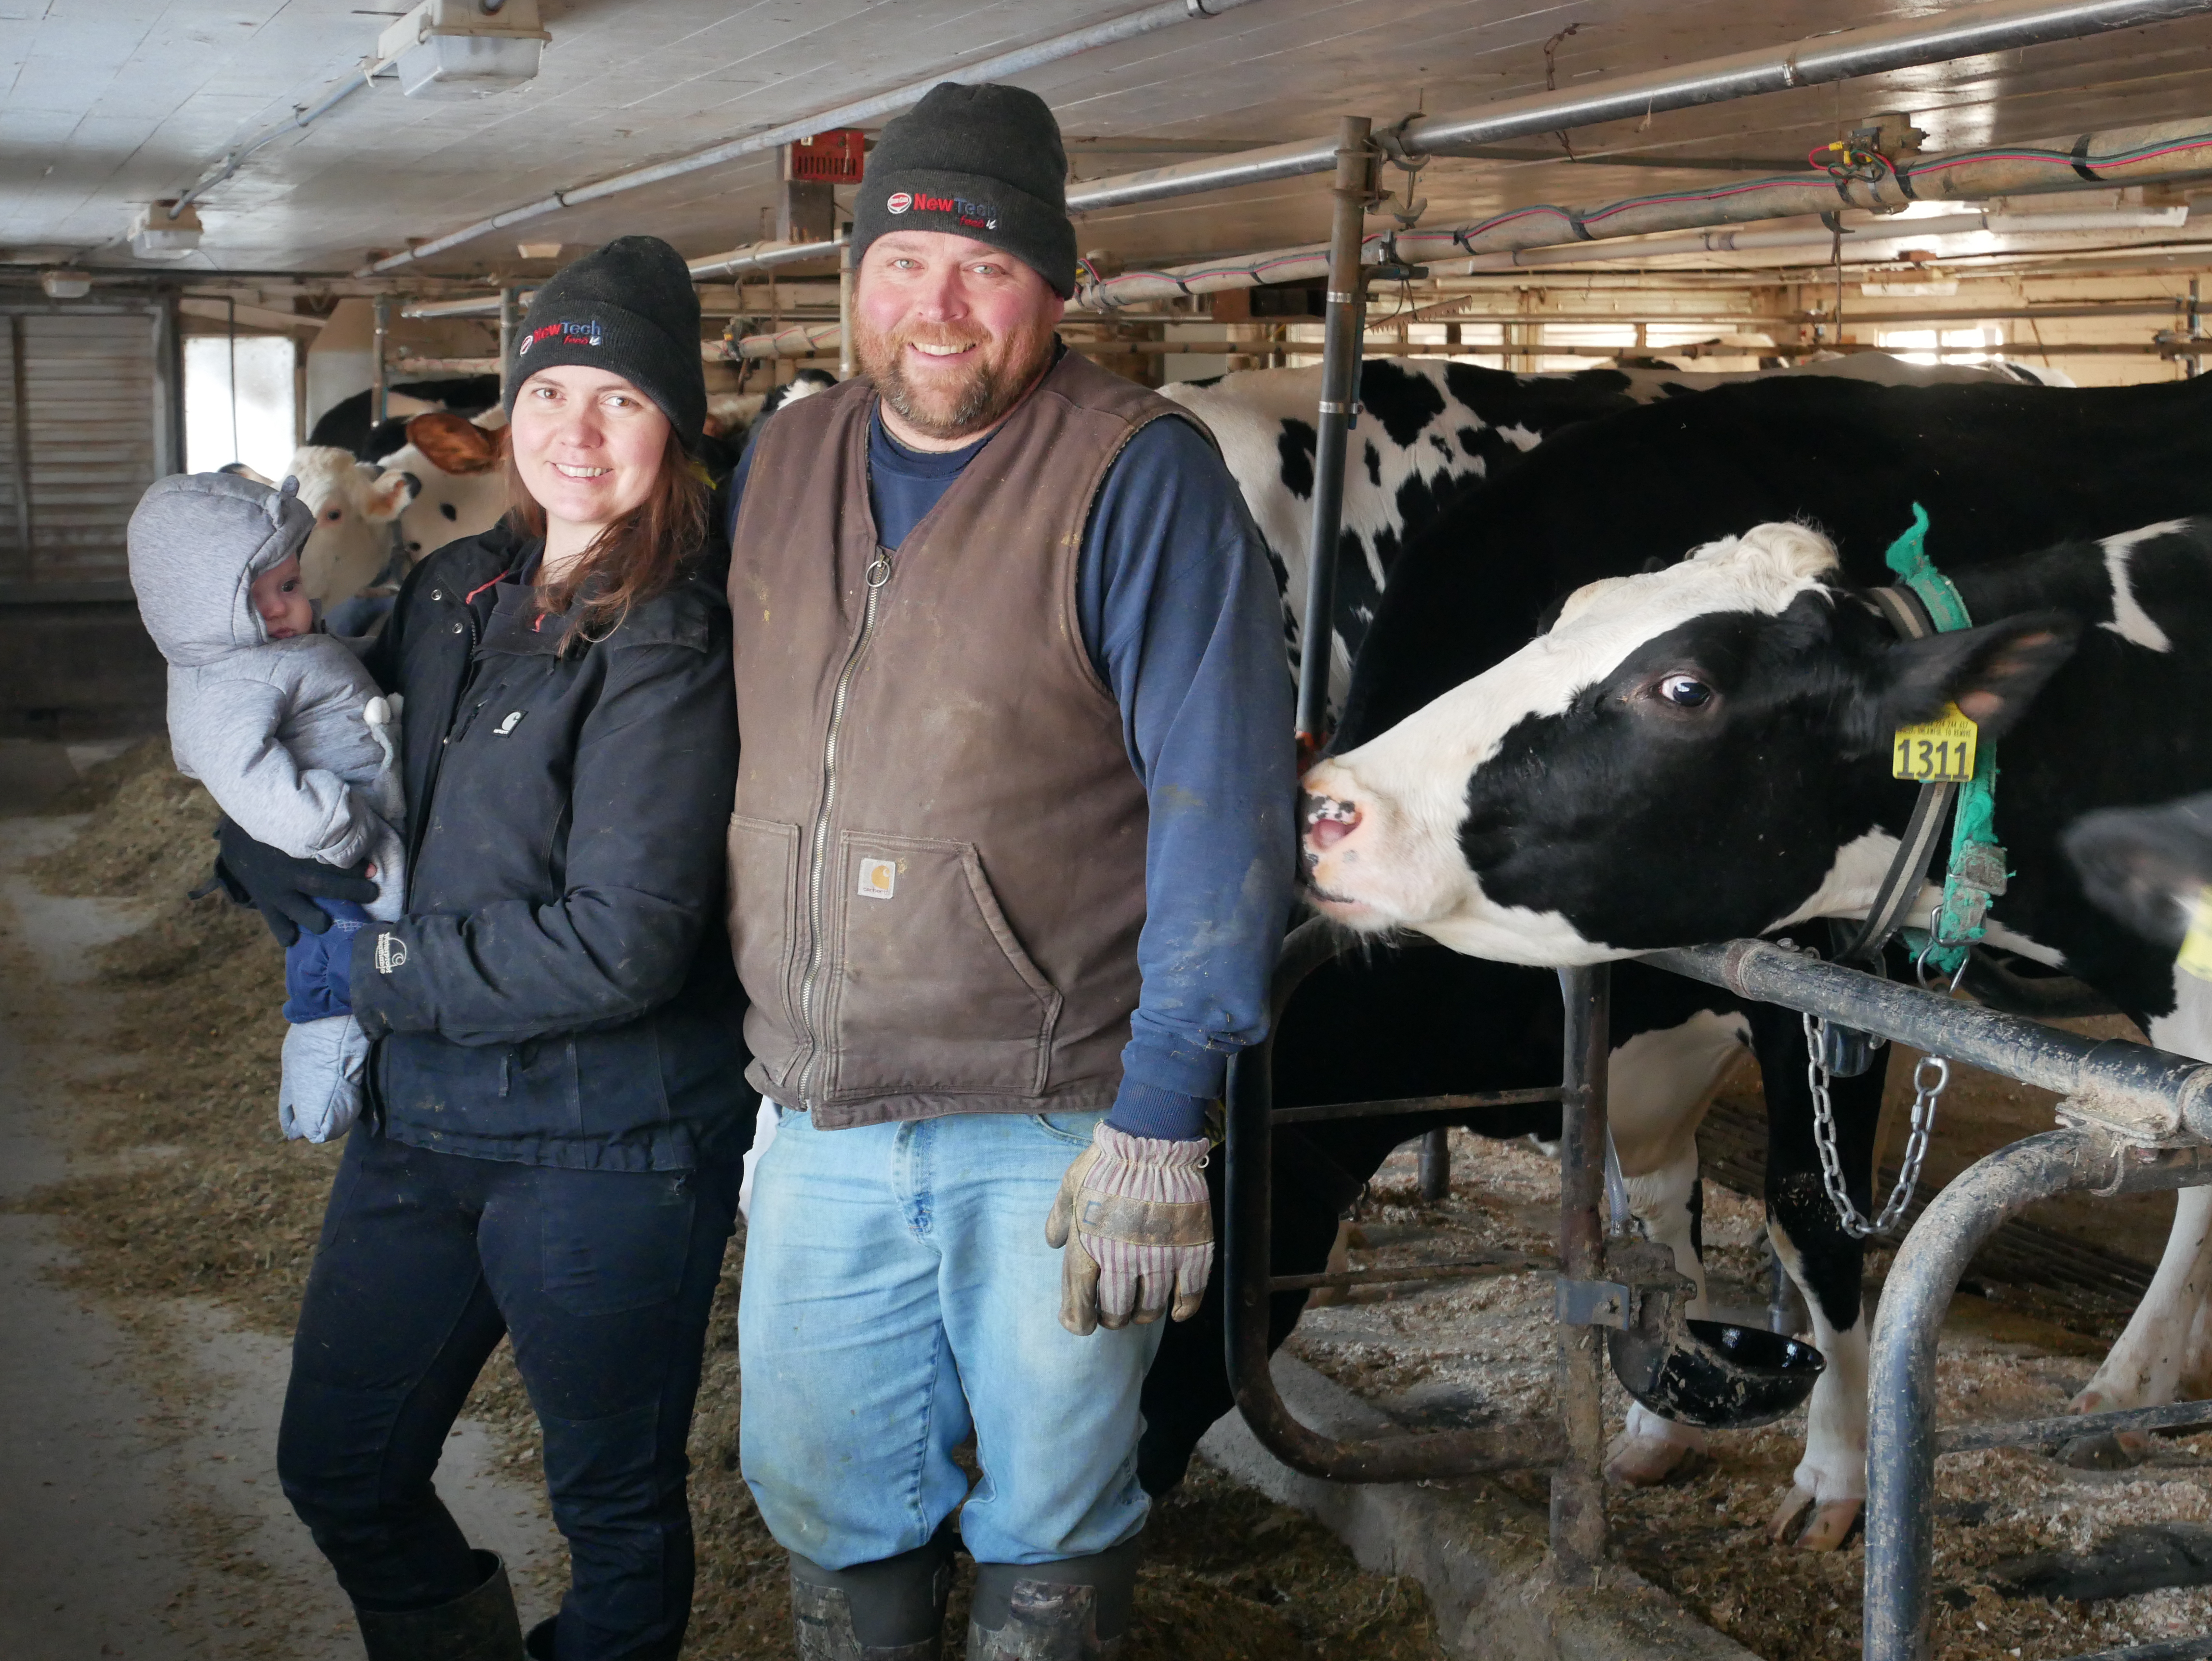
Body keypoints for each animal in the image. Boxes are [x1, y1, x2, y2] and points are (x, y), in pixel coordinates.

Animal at [1301, 373, 2212, 1548]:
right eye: (1560, 622)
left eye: (1684, 688)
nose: (1330, 807)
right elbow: (1654, 1207)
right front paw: (1658, 1422)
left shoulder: (1834, 986)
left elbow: (1809, 1212)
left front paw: (1835, 1472)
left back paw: (2131, 1379)